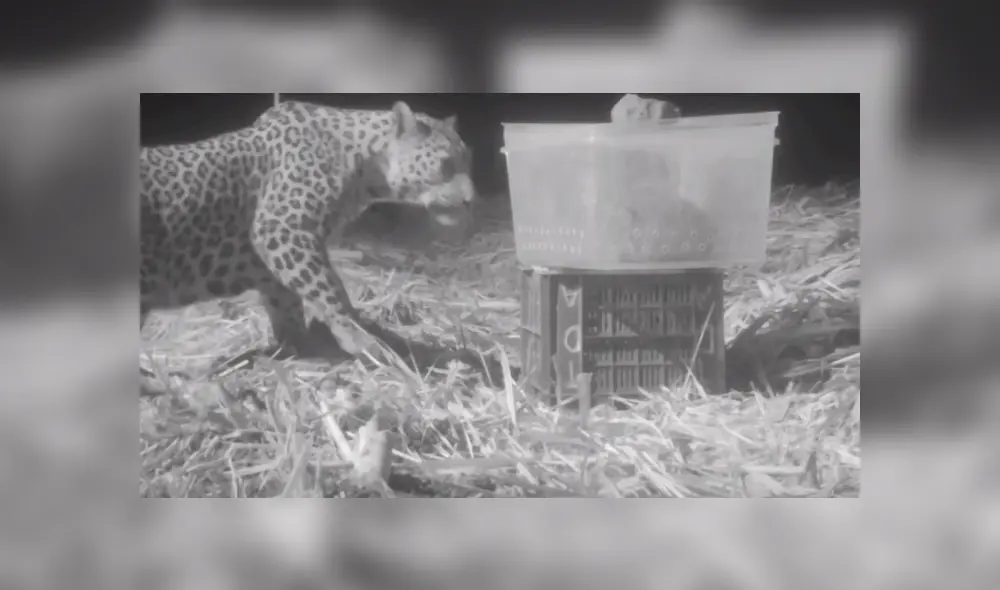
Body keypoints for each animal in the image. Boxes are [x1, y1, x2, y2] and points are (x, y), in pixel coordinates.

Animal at [140, 99, 475, 360]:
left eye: (467, 161)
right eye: (446, 165)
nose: (472, 200)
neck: (364, 163)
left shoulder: (273, 255)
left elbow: (289, 296)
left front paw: (300, 342)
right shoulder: (282, 227)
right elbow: (328, 287)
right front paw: (357, 337)